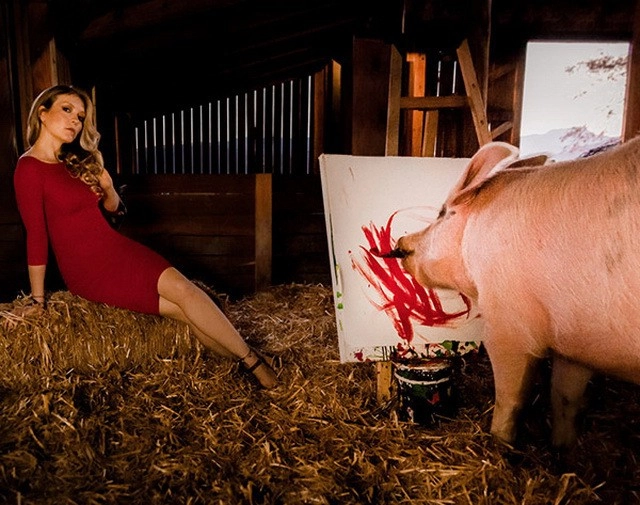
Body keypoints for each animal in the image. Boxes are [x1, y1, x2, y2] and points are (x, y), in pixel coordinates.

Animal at [393, 137, 640, 448]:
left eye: (442, 213)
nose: (401, 242)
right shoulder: (575, 343)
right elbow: (565, 399)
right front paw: (562, 449)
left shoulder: (508, 327)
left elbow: (512, 398)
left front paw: (499, 442)